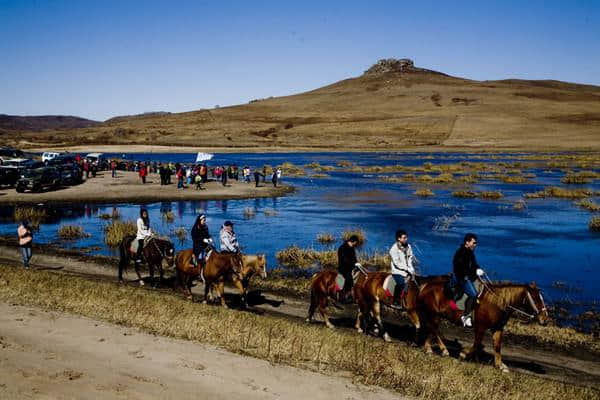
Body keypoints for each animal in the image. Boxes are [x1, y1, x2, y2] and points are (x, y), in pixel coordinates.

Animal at [418, 276, 548, 372]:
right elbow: (476, 344)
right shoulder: (481, 327)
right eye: (536, 300)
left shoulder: (497, 328)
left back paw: (428, 348)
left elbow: (497, 346)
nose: (545, 319)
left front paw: (500, 365)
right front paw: (464, 354)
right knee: (434, 330)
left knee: (431, 329)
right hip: (434, 315)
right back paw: (443, 349)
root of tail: (427, 286)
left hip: (436, 316)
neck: (496, 303)